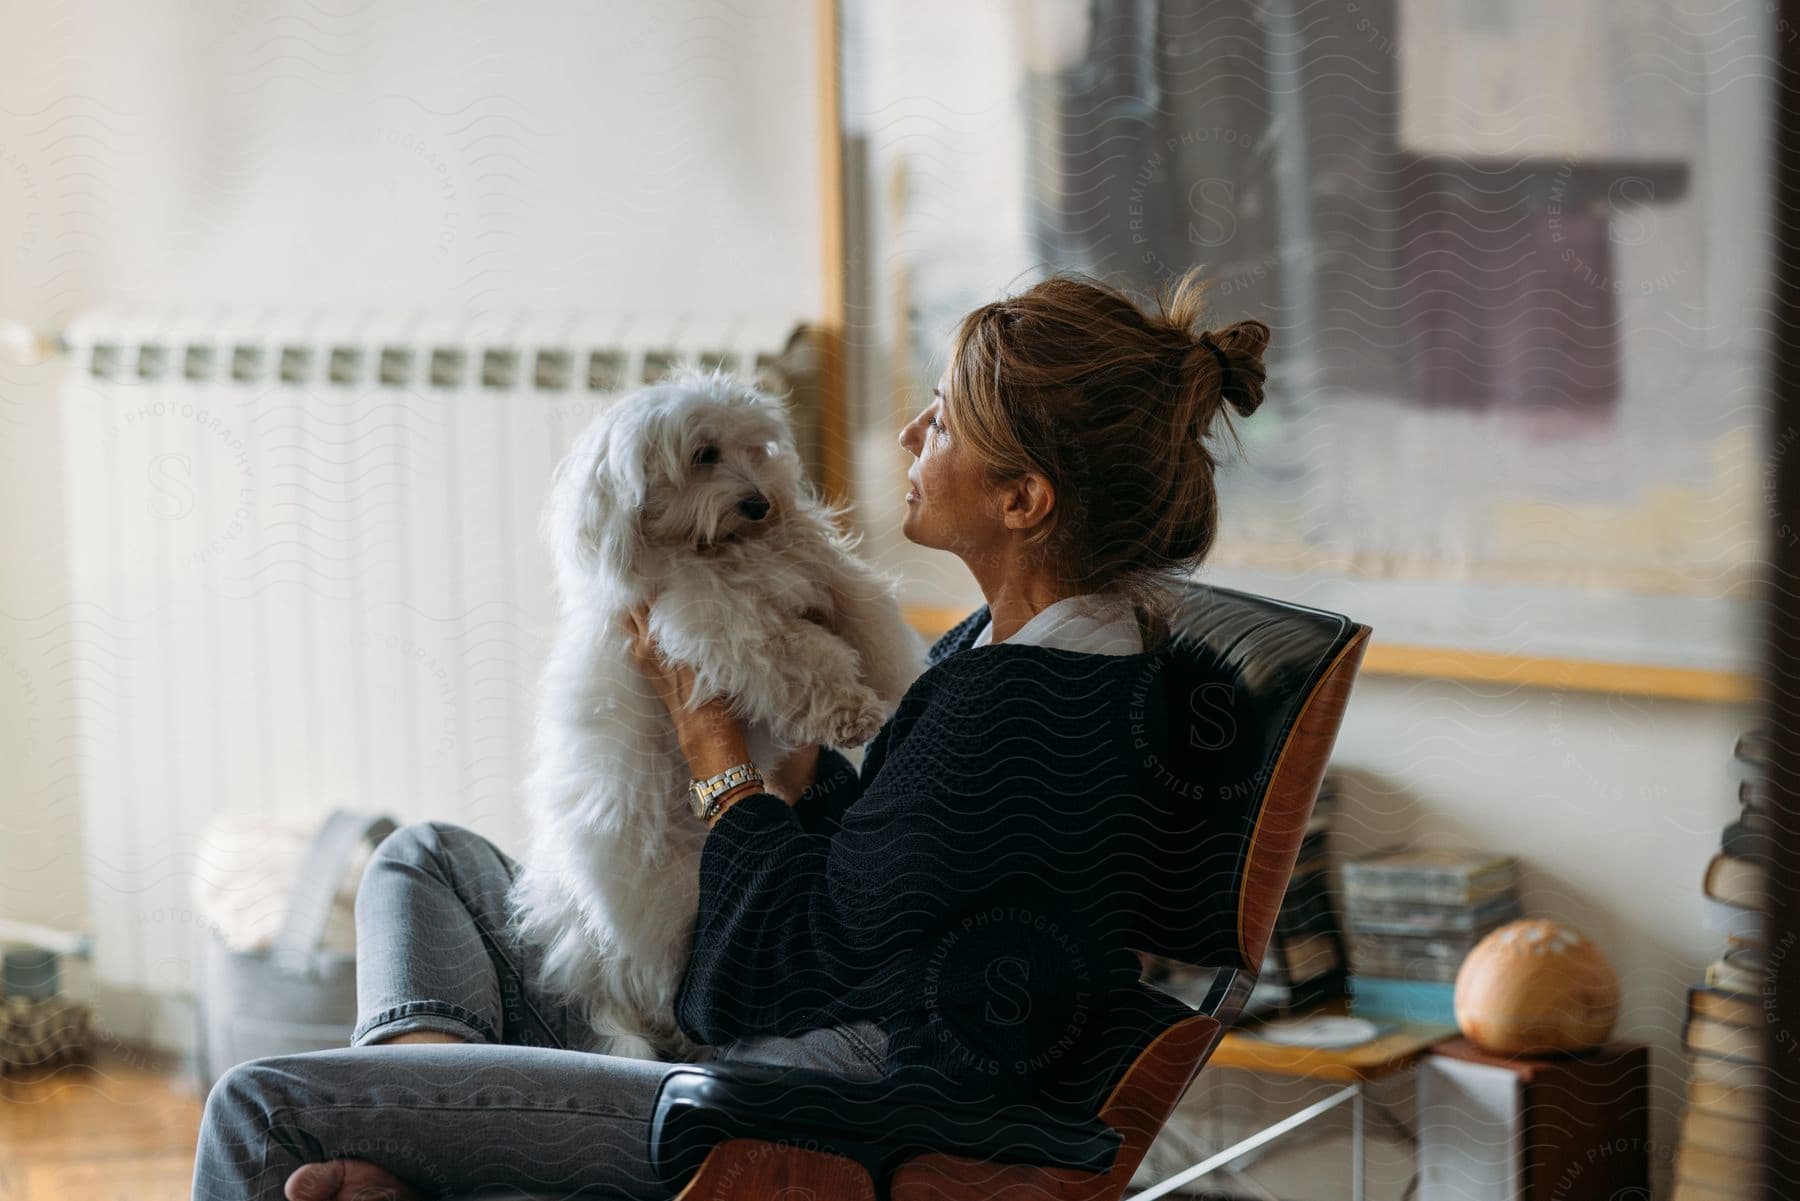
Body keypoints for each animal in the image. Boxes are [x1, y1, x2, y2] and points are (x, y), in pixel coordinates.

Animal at [507, 369, 928, 1058]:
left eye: (756, 449)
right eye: (704, 454)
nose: (760, 504)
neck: (719, 548)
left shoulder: (819, 570)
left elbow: (867, 615)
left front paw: (898, 679)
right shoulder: (719, 623)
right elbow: (799, 655)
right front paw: (850, 711)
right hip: (676, 913)